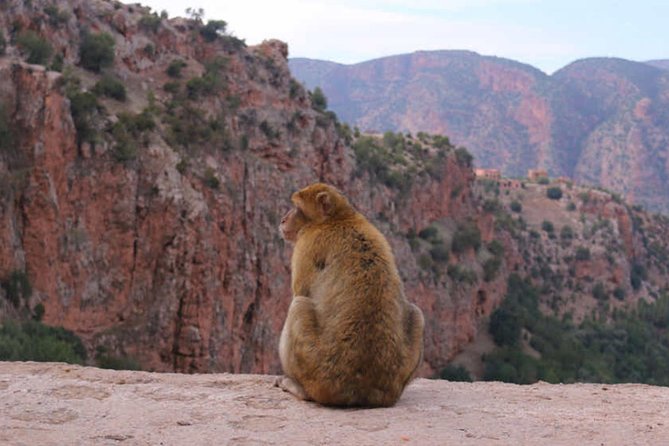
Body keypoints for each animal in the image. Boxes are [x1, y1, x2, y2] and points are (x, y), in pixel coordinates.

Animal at [276, 182, 422, 408]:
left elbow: (299, 292)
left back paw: (297, 388)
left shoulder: (307, 244)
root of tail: (360, 391)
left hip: (314, 369)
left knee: (299, 305)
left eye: (297, 208)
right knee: (416, 312)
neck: (339, 217)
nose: (283, 219)